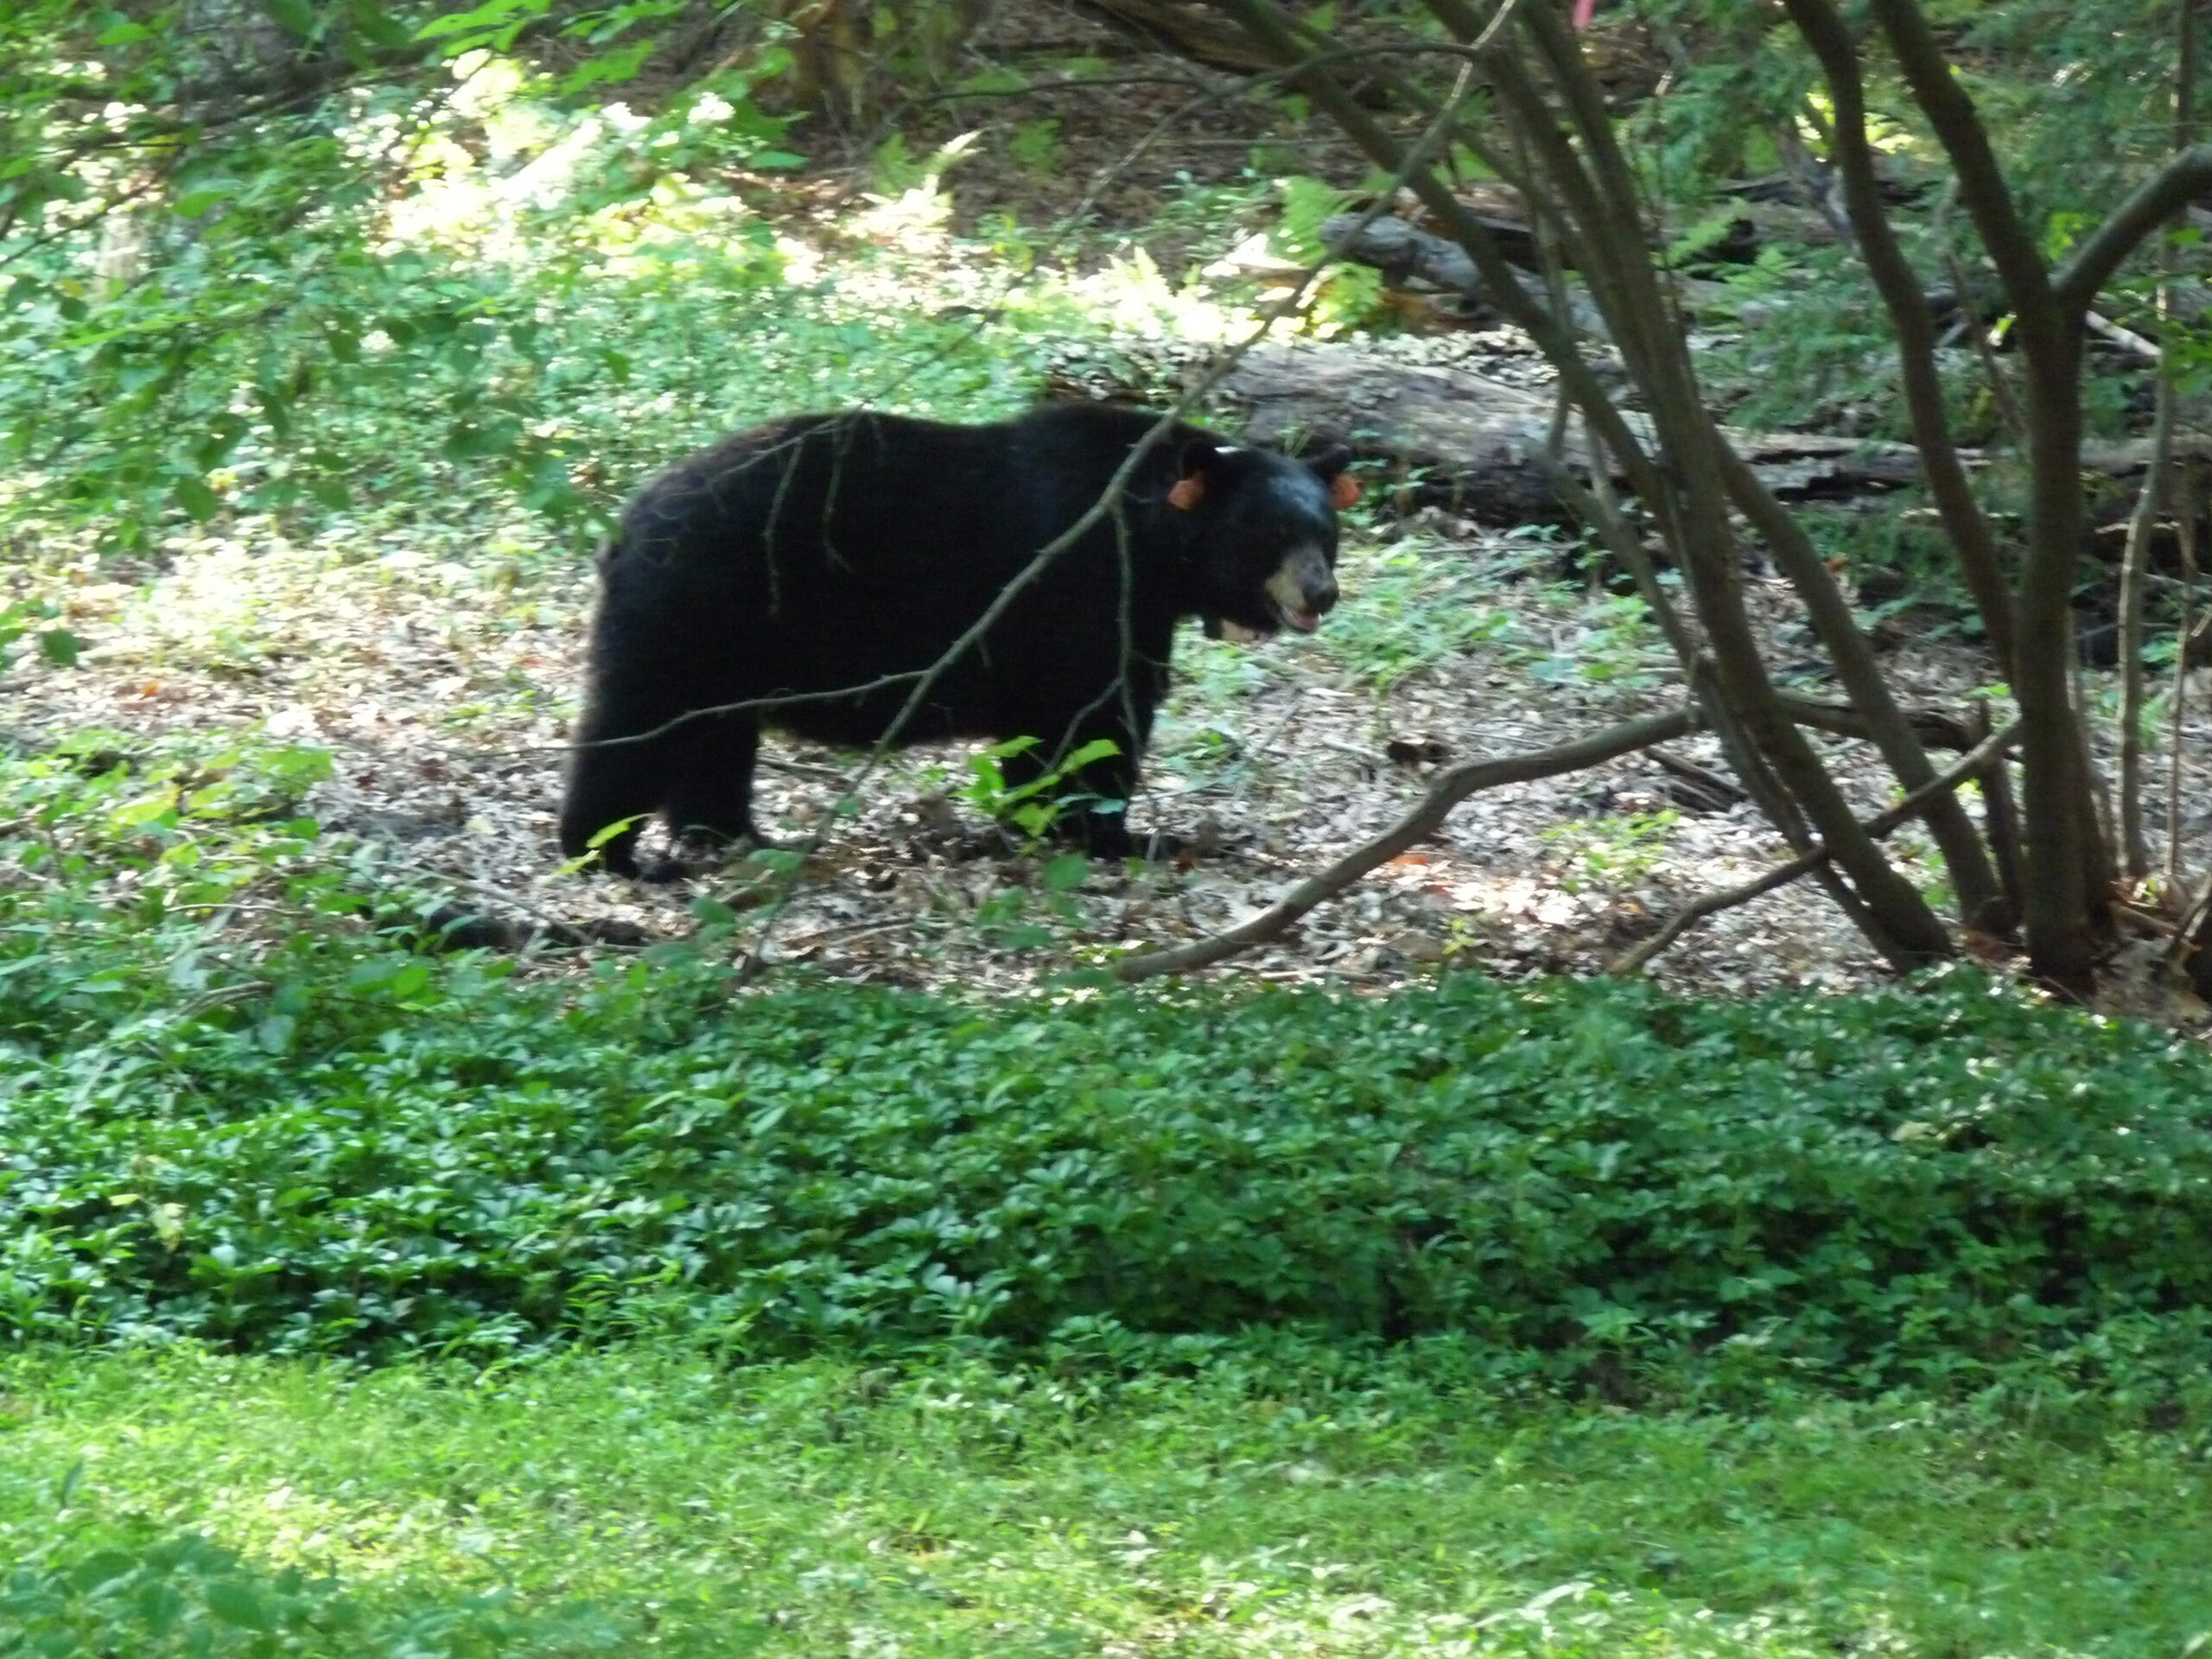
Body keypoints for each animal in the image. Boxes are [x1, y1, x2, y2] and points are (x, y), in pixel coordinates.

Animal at [557, 402, 1360, 879]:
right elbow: (1097, 720)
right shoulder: (1087, 589)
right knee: (634, 725)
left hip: (727, 643)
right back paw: (608, 852)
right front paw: (1119, 836)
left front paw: (1043, 824)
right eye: (1269, 534)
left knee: (714, 740)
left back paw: (735, 838)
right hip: (692, 608)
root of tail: (626, 525)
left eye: (1325, 531)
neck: (1148, 535)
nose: (1320, 592)